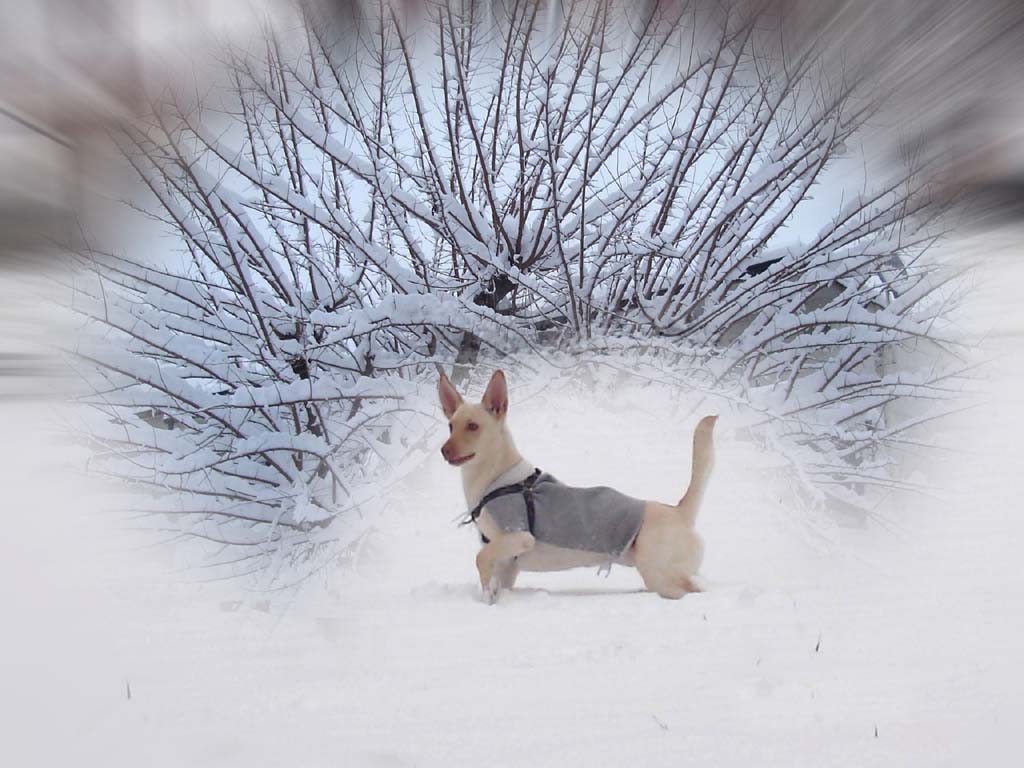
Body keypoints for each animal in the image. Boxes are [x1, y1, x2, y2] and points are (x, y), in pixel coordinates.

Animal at [436, 370, 716, 606]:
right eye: (450, 426)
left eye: (473, 426)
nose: (444, 450)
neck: (499, 479)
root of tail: (679, 511)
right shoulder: (507, 563)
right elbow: (493, 571)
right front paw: (492, 594)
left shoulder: (520, 538)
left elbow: (480, 558)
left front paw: (486, 595)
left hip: (657, 572)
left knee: (694, 588)